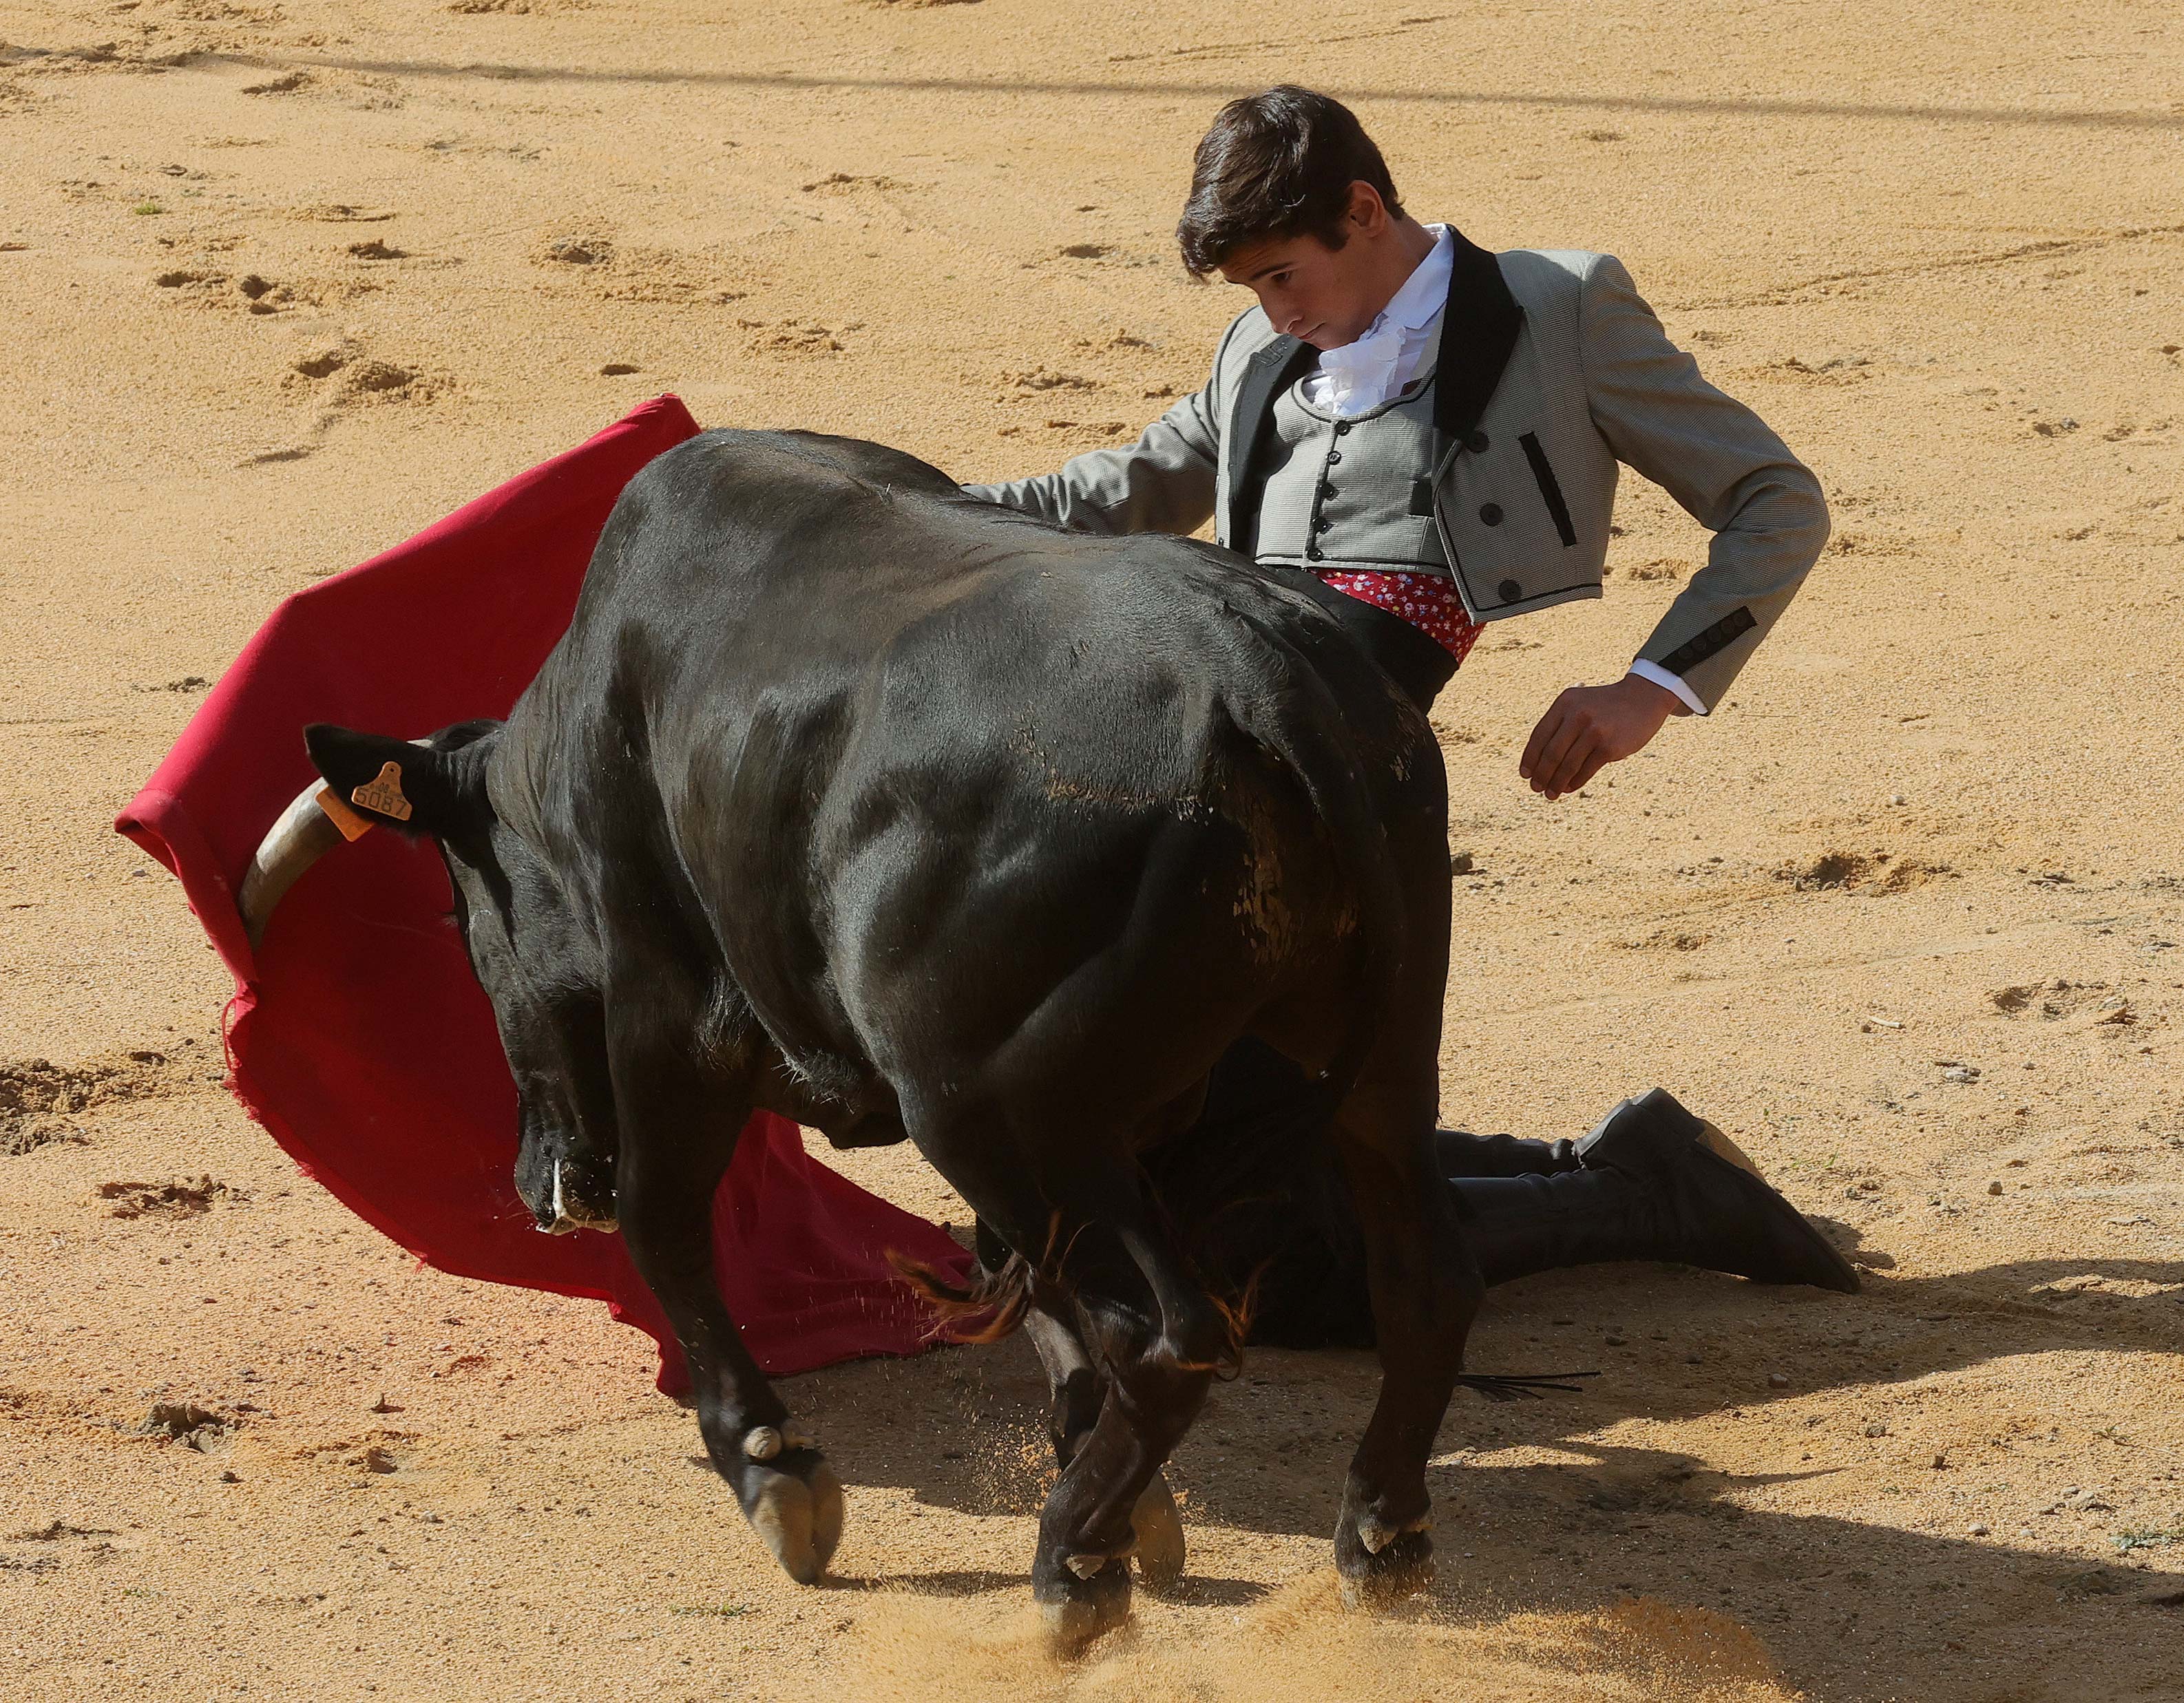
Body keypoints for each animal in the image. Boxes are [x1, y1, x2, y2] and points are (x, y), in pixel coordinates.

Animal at [248, 425, 1493, 1650]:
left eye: (463, 919)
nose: (543, 1188)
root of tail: (1258, 671)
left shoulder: (668, 1007)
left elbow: (667, 1222)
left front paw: (773, 1467)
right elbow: (1028, 1291)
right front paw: (1130, 1498)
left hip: (985, 1107)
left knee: (1164, 1332)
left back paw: (1071, 1565)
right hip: (1368, 1064)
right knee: (1420, 1274)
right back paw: (1376, 1536)